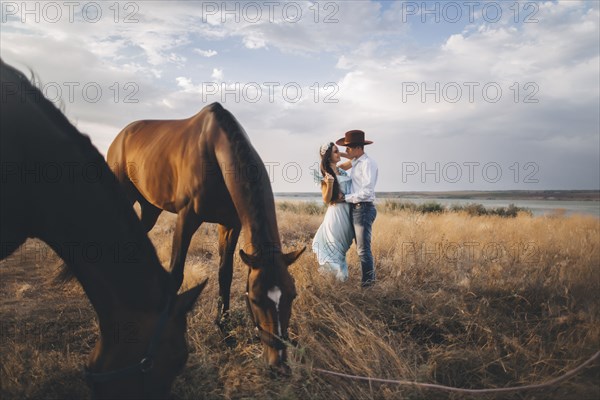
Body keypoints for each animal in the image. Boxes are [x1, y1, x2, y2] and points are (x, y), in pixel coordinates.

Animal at [106, 101, 304, 370]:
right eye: (255, 299)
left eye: (292, 295)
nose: (279, 363)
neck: (214, 151)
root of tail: (121, 136)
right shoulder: (186, 219)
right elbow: (176, 275)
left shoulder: (230, 225)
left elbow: (225, 274)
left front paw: (225, 330)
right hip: (125, 196)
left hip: (150, 208)